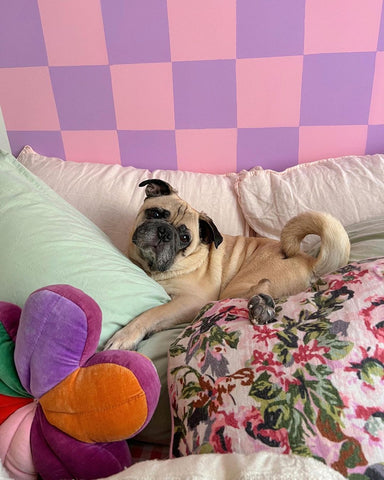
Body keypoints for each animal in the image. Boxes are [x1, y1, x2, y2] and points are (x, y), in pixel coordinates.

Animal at [103, 178, 350, 350]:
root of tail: (308, 260)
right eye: (155, 213)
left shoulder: (190, 301)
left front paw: (125, 337)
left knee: (261, 287)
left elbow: (151, 313)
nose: (165, 232)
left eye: (185, 238)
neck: (152, 269)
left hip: (235, 288)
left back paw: (262, 306)